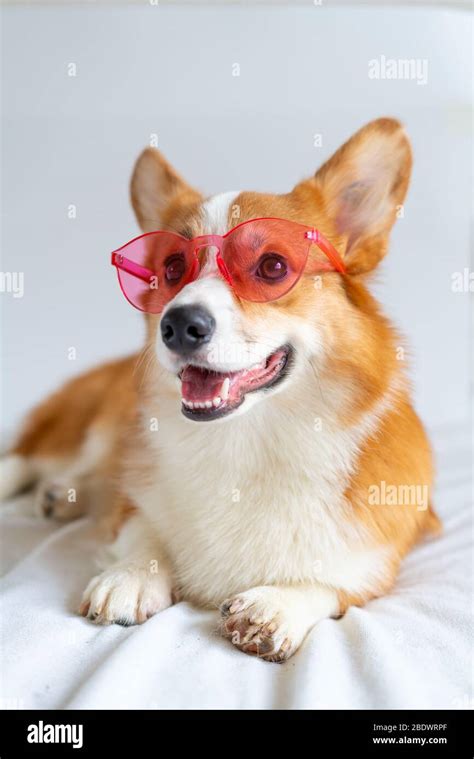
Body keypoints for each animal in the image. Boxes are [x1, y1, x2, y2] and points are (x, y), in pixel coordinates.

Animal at [0, 117, 440, 660]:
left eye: (273, 266)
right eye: (171, 268)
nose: (178, 325)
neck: (248, 439)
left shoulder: (383, 555)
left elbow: (337, 582)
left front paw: (279, 604)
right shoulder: (135, 502)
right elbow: (143, 528)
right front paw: (132, 576)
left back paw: (61, 496)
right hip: (84, 422)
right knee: (29, 458)